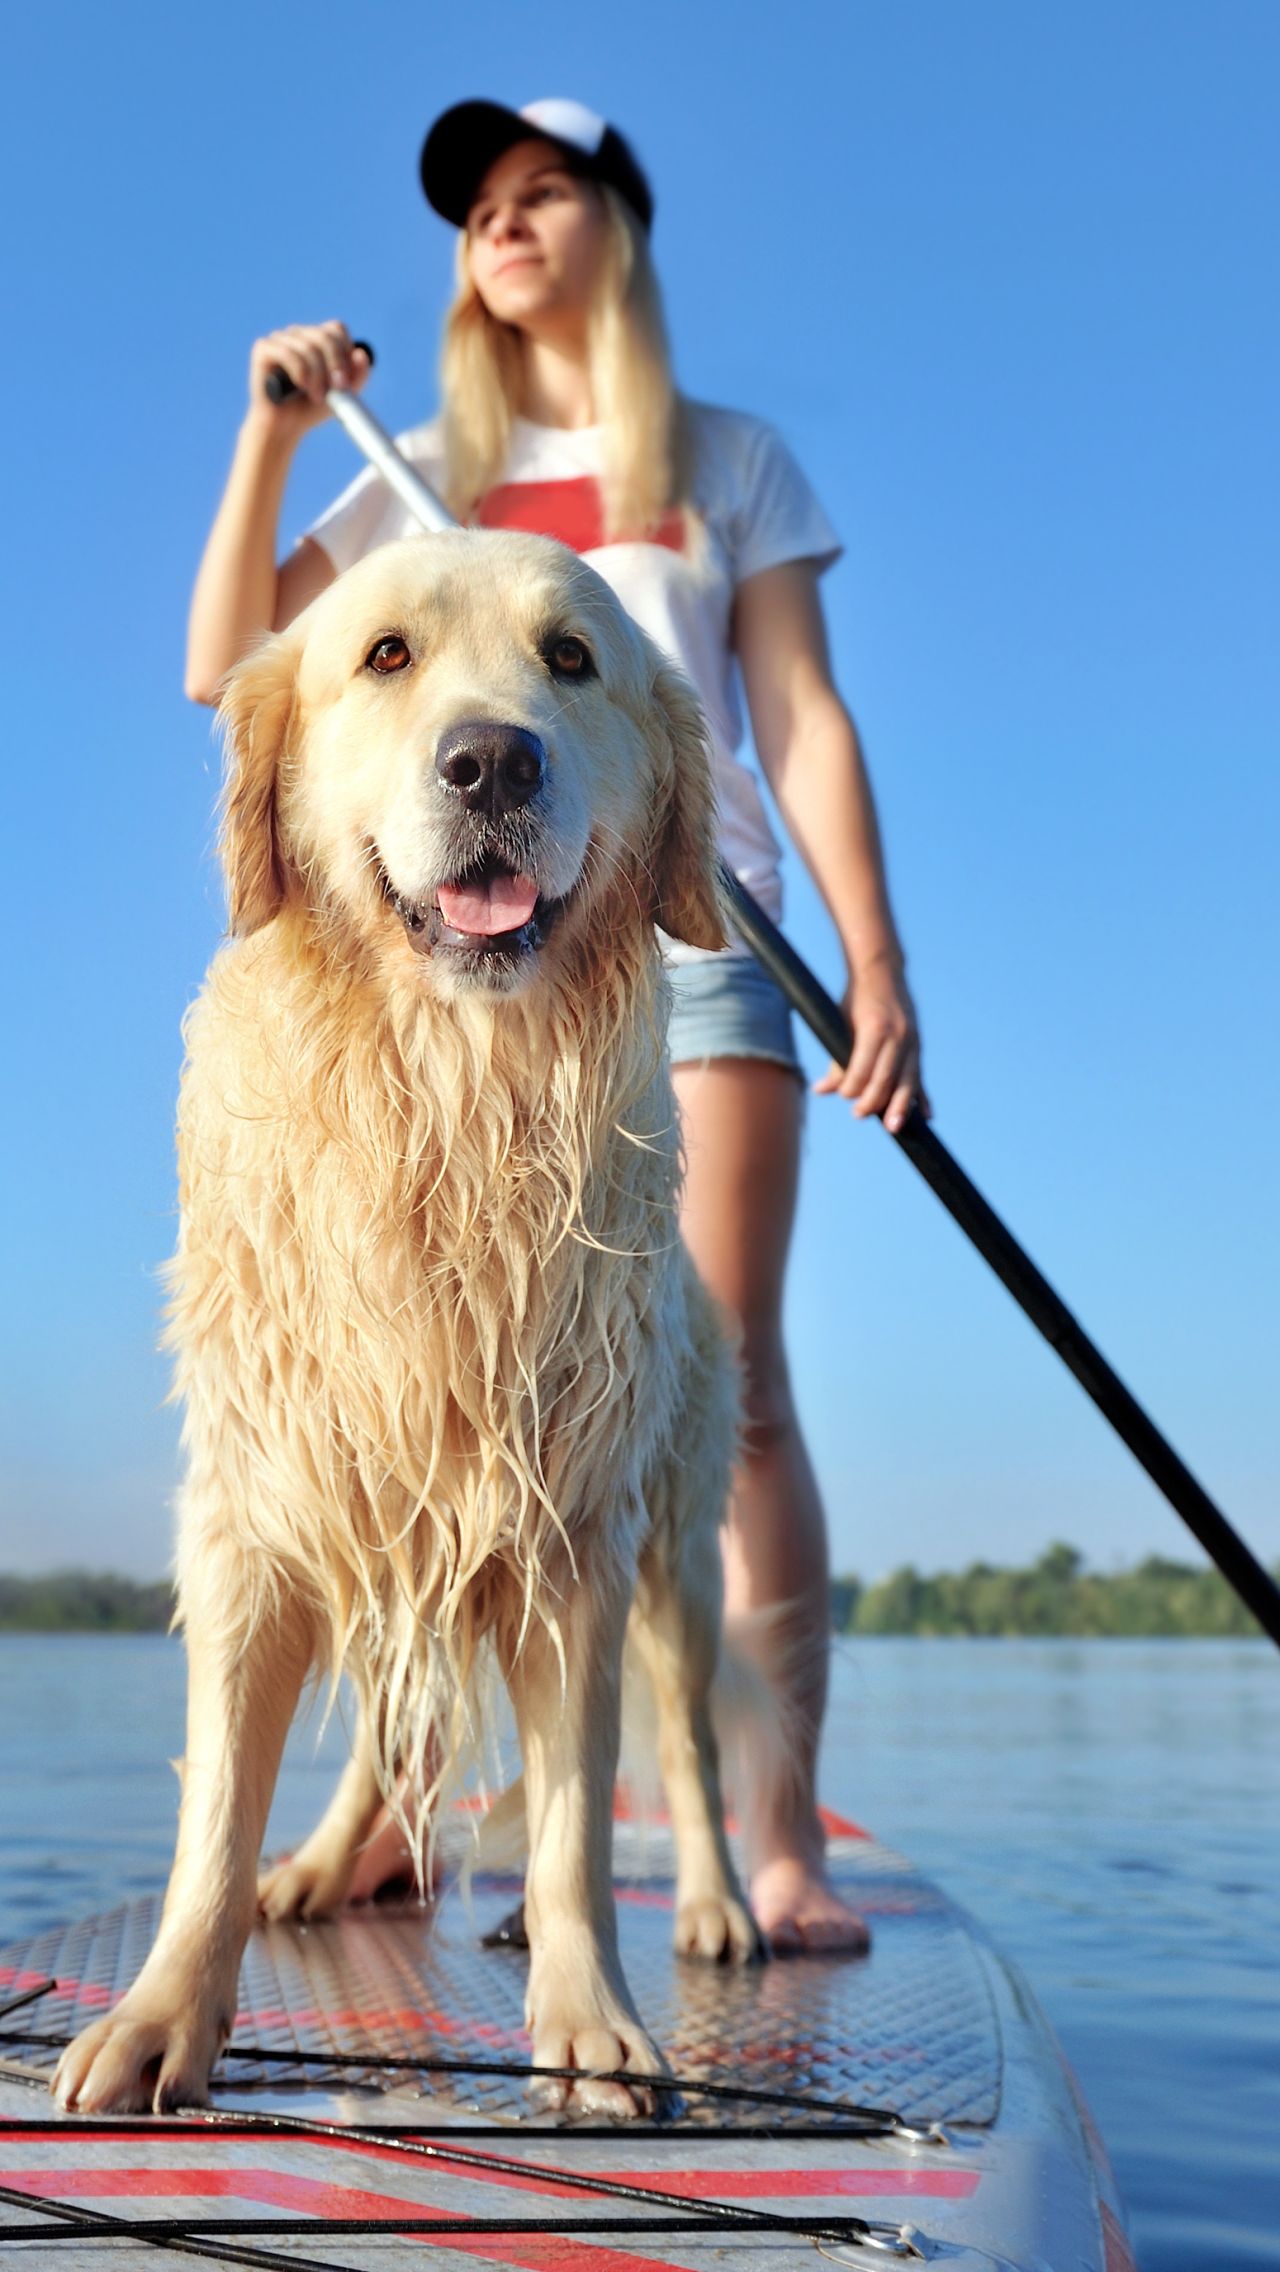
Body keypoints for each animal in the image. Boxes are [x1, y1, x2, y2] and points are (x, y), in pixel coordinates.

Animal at [52, 536, 759, 2126]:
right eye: (384, 656)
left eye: (572, 660)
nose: (491, 758)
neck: (442, 1094)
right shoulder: (257, 1508)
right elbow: (214, 1813)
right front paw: (161, 2015)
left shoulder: (574, 1531)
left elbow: (572, 1823)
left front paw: (593, 2022)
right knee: (390, 1726)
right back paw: (322, 1866)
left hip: (678, 1550)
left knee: (689, 1747)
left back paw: (722, 1905)